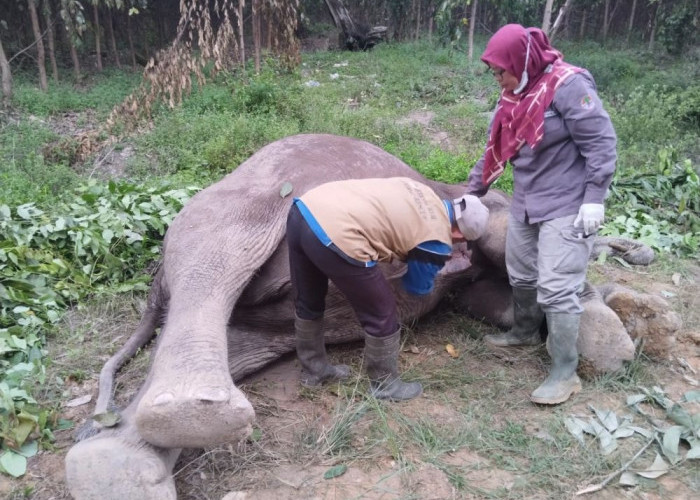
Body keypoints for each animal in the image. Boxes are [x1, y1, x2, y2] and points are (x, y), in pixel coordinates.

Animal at [63, 134, 660, 500]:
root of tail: (155, 277)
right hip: (242, 206)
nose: (641, 253)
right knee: (215, 256)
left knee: (250, 335)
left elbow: (501, 287)